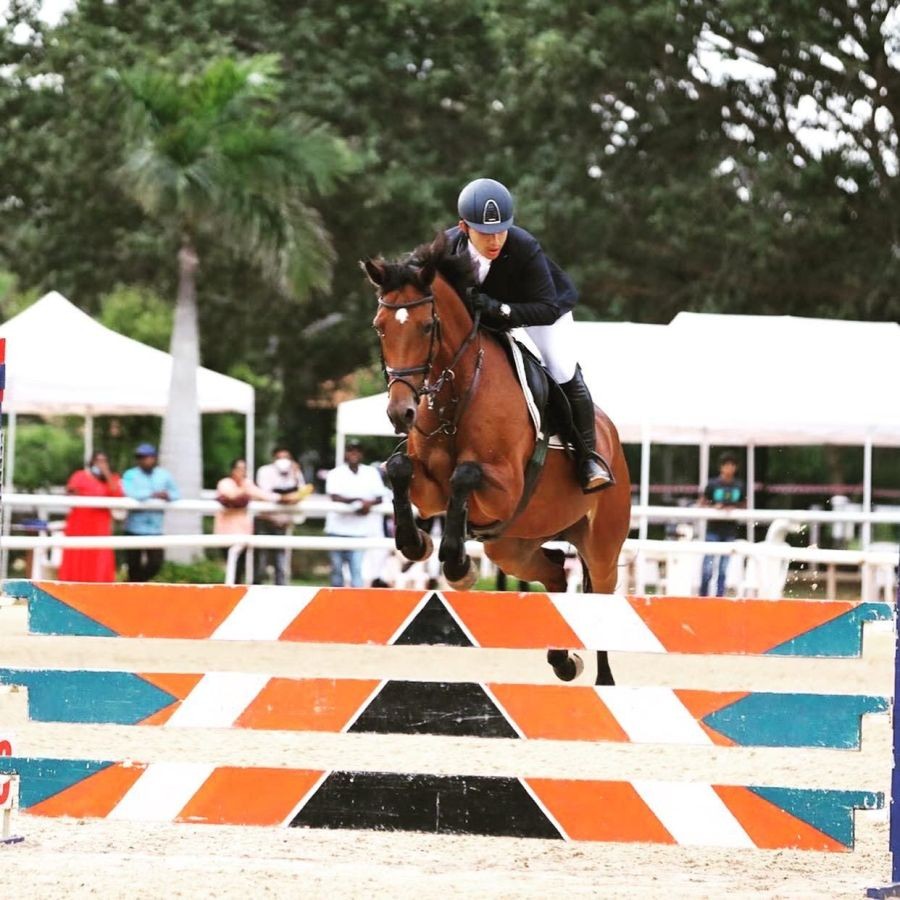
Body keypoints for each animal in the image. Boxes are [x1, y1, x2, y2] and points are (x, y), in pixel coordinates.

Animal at [362, 232, 628, 684]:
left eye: (427, 326)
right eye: (380, 327)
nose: (402, 414)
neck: (456, 395)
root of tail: (611, 437)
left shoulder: (506, 488)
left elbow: (465, 475)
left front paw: (456, 566)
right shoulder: (429, 492)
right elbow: (399, 469)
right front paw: (416, 544)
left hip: (601, 545)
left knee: (600, 599)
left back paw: (603, 681)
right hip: (512, 547)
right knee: (555, 573)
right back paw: (563, 661)